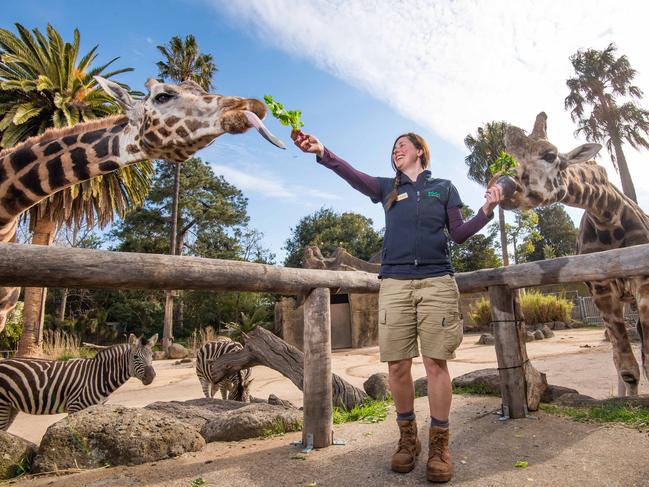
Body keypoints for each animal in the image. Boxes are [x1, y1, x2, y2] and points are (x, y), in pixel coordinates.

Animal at [0, 332, 157, 430]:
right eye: (135, 357)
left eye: (152, 356)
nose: (151, 376)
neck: (99, 375)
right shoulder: (75, 407)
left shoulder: (93, 409)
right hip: (2, 404)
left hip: (12, 406)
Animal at [496, 112, 648, 398]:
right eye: (513, 157)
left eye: (550, 155)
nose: (508, 190)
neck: (606, 216)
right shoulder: (601, 288)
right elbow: (627, 367)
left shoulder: (643, 280)